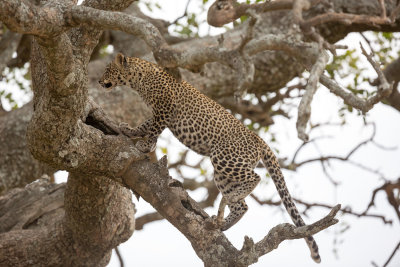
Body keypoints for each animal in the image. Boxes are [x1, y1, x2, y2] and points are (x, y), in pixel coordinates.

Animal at [100, 52, 322, 264]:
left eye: (108, 69)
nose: (100, 82)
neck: (139, 78)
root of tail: (259, 139)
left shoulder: (164, 107)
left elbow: (154, 129)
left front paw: (145, 145)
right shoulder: (159, 112)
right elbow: (146, 124)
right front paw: (129, 130)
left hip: (224, 159)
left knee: (255, 178)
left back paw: (231, 203)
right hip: (224, 174)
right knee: (242, 205)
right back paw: (223, 222)